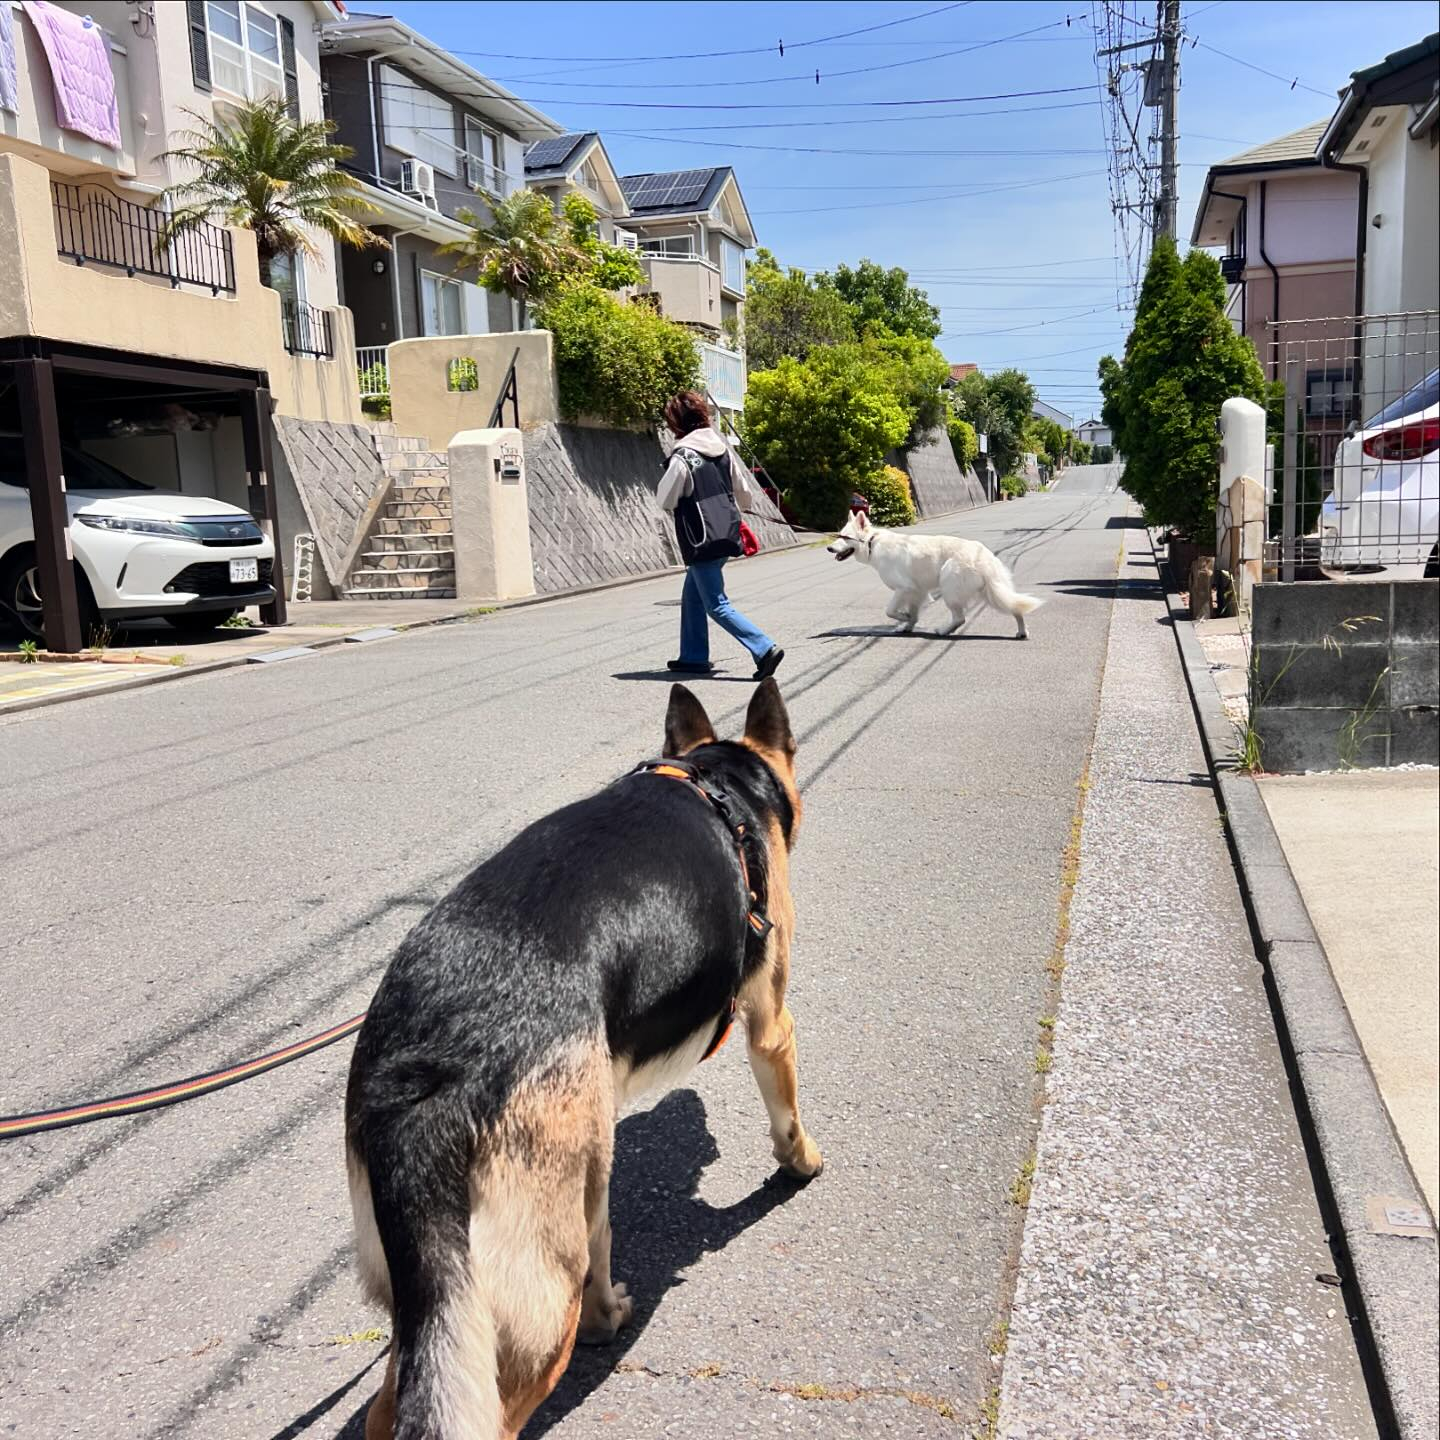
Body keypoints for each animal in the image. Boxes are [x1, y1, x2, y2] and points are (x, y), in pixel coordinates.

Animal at [342, 679, 829, 1434]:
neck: (711, 779)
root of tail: (431, 1074)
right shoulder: (771, 1024)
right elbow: (788, 1116)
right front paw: (801, 1163)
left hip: (441, 1296)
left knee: (388, 1406)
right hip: (549, 1271)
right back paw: (608, 1317)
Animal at [829, 509, 1042, 639]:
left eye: (845, 538)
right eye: (839, 535)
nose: (829, 548)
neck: (872, 543)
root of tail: (983, 556)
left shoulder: (903, 588)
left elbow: (890, 611)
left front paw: (904, 618)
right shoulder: (916, 591)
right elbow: (912, 614)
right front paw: (907, 625)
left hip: (949, 585)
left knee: (960, 618)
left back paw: (943, 631)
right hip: (994, 590)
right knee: (1016, 608)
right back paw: (1022, 632)